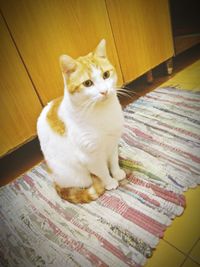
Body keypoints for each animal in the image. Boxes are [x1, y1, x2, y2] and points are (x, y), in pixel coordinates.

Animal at [36, 39, 126, 203]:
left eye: (106, 74)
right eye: (87, 83)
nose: (104, 91)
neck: (103, 114)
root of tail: (55, 181)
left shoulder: (112, 142)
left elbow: (114, 161)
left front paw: (117, 173)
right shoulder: (90, 157)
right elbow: (103, 171)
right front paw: (110, 182)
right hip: (75, 174)